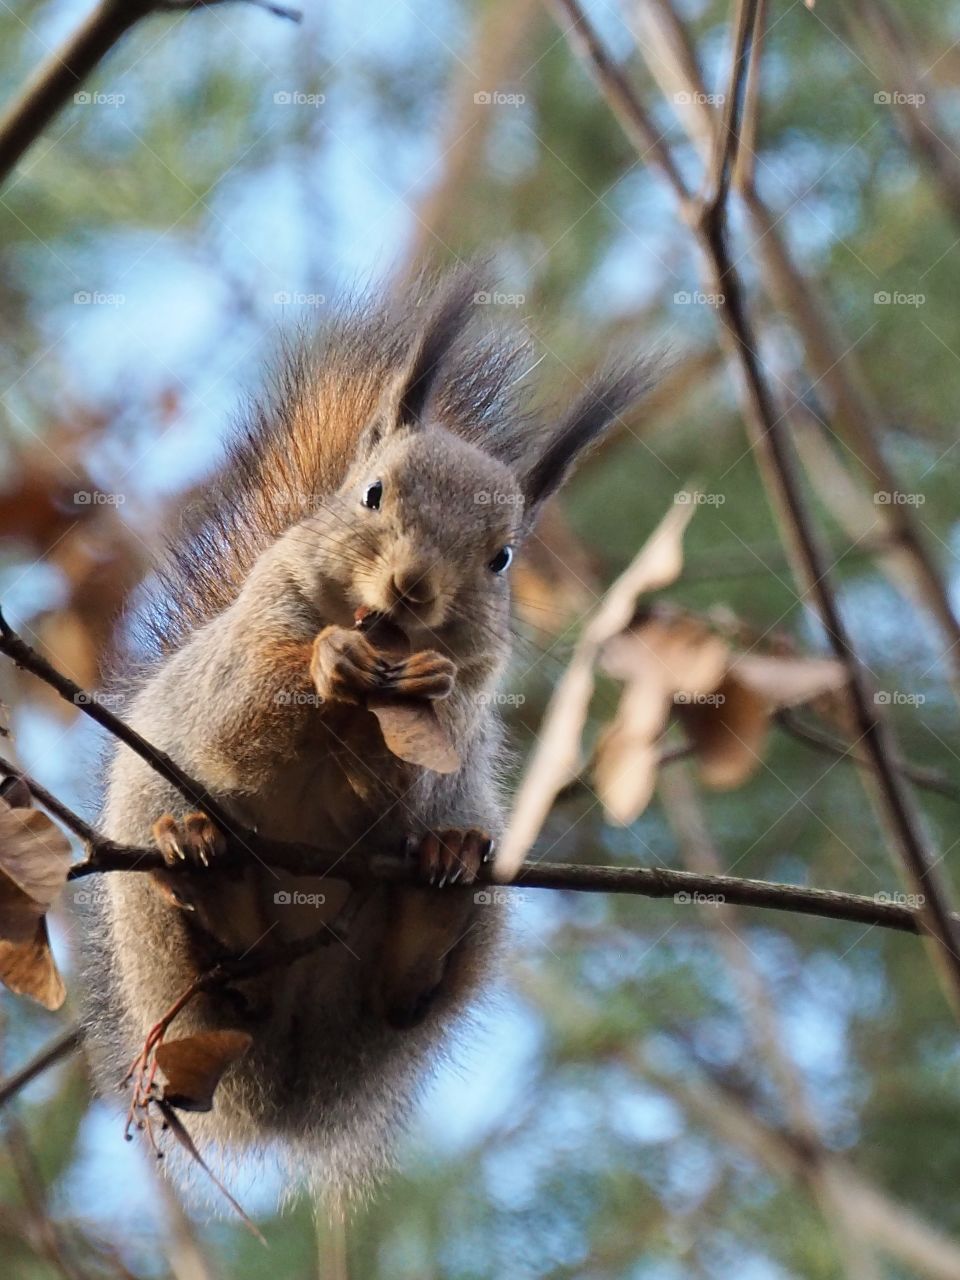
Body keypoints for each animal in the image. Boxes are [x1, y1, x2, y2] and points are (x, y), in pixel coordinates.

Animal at [81, 269, 651, 1198]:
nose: (413, 587)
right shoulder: (240, 661)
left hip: (455, 922)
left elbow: (402, 783)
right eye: (373, 493)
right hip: (148, 905)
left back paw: (435, 888)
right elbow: (248, 716)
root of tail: (290, 1079)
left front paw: (410, 688)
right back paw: (205, 867)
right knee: (226, 974)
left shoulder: (455, 725)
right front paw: (327, 661)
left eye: (502, 557)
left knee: (400, 997)